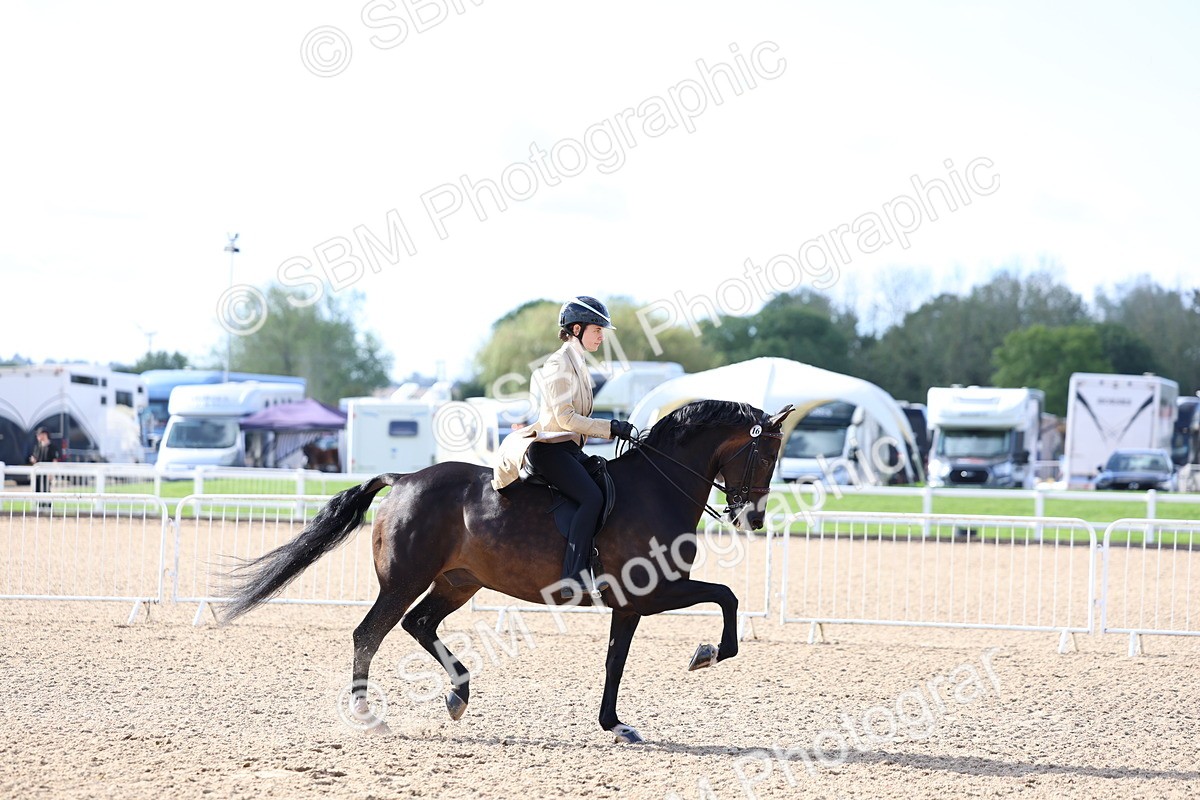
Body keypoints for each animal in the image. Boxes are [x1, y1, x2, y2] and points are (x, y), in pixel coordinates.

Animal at [220, 399, 794, 743]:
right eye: (766, 456)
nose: (754, 518)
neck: (654, 488)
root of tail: (403, 478)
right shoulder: (650, 593)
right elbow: (726, 597)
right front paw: (707, 653)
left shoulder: (633, 604)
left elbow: (617, 660)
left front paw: (613, 723)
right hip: (405, 581)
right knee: (369, 633)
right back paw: (368, 715)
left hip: (457, 582)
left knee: (418, 624)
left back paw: (458, 694)